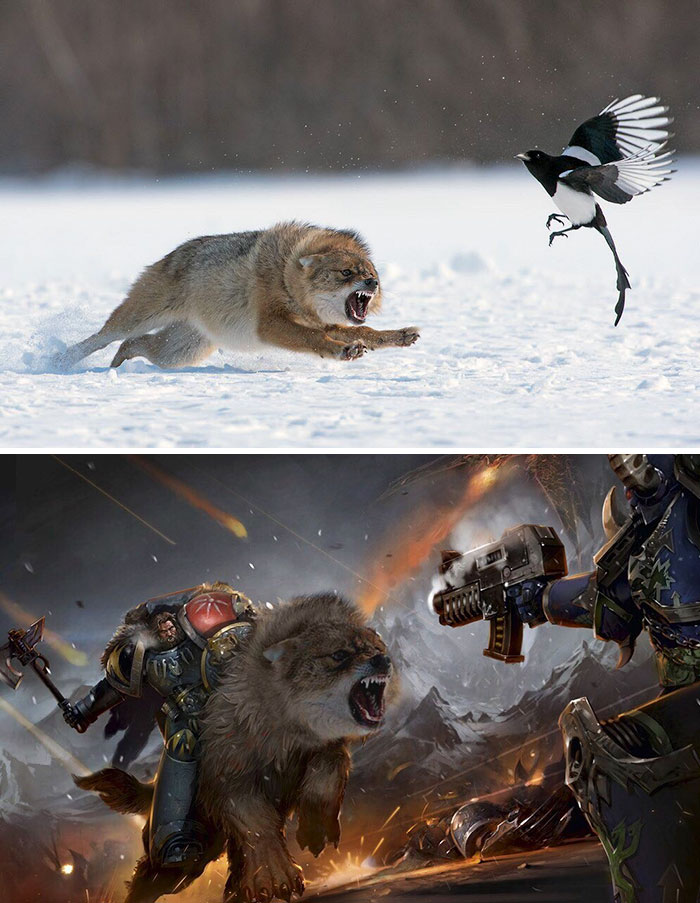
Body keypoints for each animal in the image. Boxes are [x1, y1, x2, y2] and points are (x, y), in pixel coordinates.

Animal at [60, 222, 419, 369]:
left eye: (372, 273)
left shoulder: (325, 323)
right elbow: (315, 340)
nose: (372, 284)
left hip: (179, 352)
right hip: (139, 320)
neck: (286, 275)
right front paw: (344, 351)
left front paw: (400, 335)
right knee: (103, 338)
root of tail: (173, 254)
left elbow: (367, 331)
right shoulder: (271, 326)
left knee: (132, 345)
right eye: (347, 273)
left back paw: (116, 368)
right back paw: (59, 360)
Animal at [75, 593, 397, 903]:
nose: (383, 659)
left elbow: (326, 776)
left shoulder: (324, 750)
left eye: (375, 646)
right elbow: (256, 826)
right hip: (184, 858)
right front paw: (276, 875)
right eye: (339, 655)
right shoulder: (230, 779)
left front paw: (315, 829)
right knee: (150, 879)